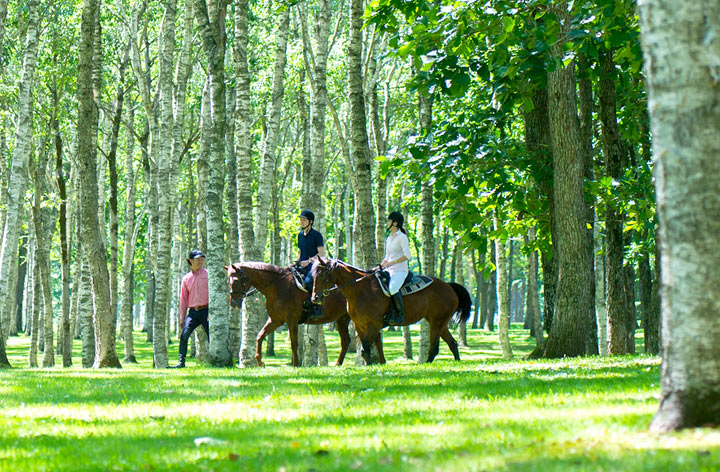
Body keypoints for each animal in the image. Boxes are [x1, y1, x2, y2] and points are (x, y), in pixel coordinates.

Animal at [228, 262, 386, 368]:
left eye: (235, 280)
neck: (278, 286)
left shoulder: (291, 320)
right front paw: (260, 361)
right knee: (348, 340)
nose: (234, 303)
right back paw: (339, 363)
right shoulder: (275, 320)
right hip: (343, 319)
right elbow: (260, 335)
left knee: (372, 337)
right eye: (227, 281)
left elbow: (294, 342)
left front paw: (296, 364)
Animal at [310, 258, 472, 366]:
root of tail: (449, 286)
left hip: (437, 323)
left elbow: (365, 349)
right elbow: (368, 347)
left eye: (321, 275)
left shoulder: (373, 324)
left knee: (435, 347)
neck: (360, 290)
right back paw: (457, 363)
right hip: (439, 322)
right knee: (452, 343)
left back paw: (426, 364)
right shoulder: (360, 325)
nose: (315, 298)